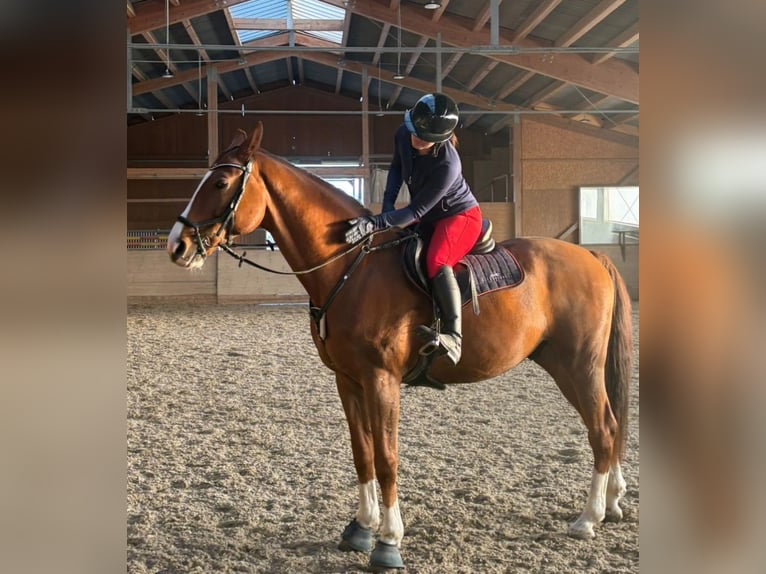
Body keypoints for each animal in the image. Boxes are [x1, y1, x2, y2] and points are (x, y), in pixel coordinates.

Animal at [166, 123, 633, 570]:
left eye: (221, 182)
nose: (177, 245)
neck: (352, 267)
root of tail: (593, 257)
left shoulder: (381, 379)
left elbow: (387, 457)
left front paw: (388, 542)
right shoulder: (348, 381)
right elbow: (363, 452)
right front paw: (361, 528)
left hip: (578, 366)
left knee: (603, 428)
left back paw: (588, 517)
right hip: (564, 364)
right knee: (608, 426)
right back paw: (612, 503)